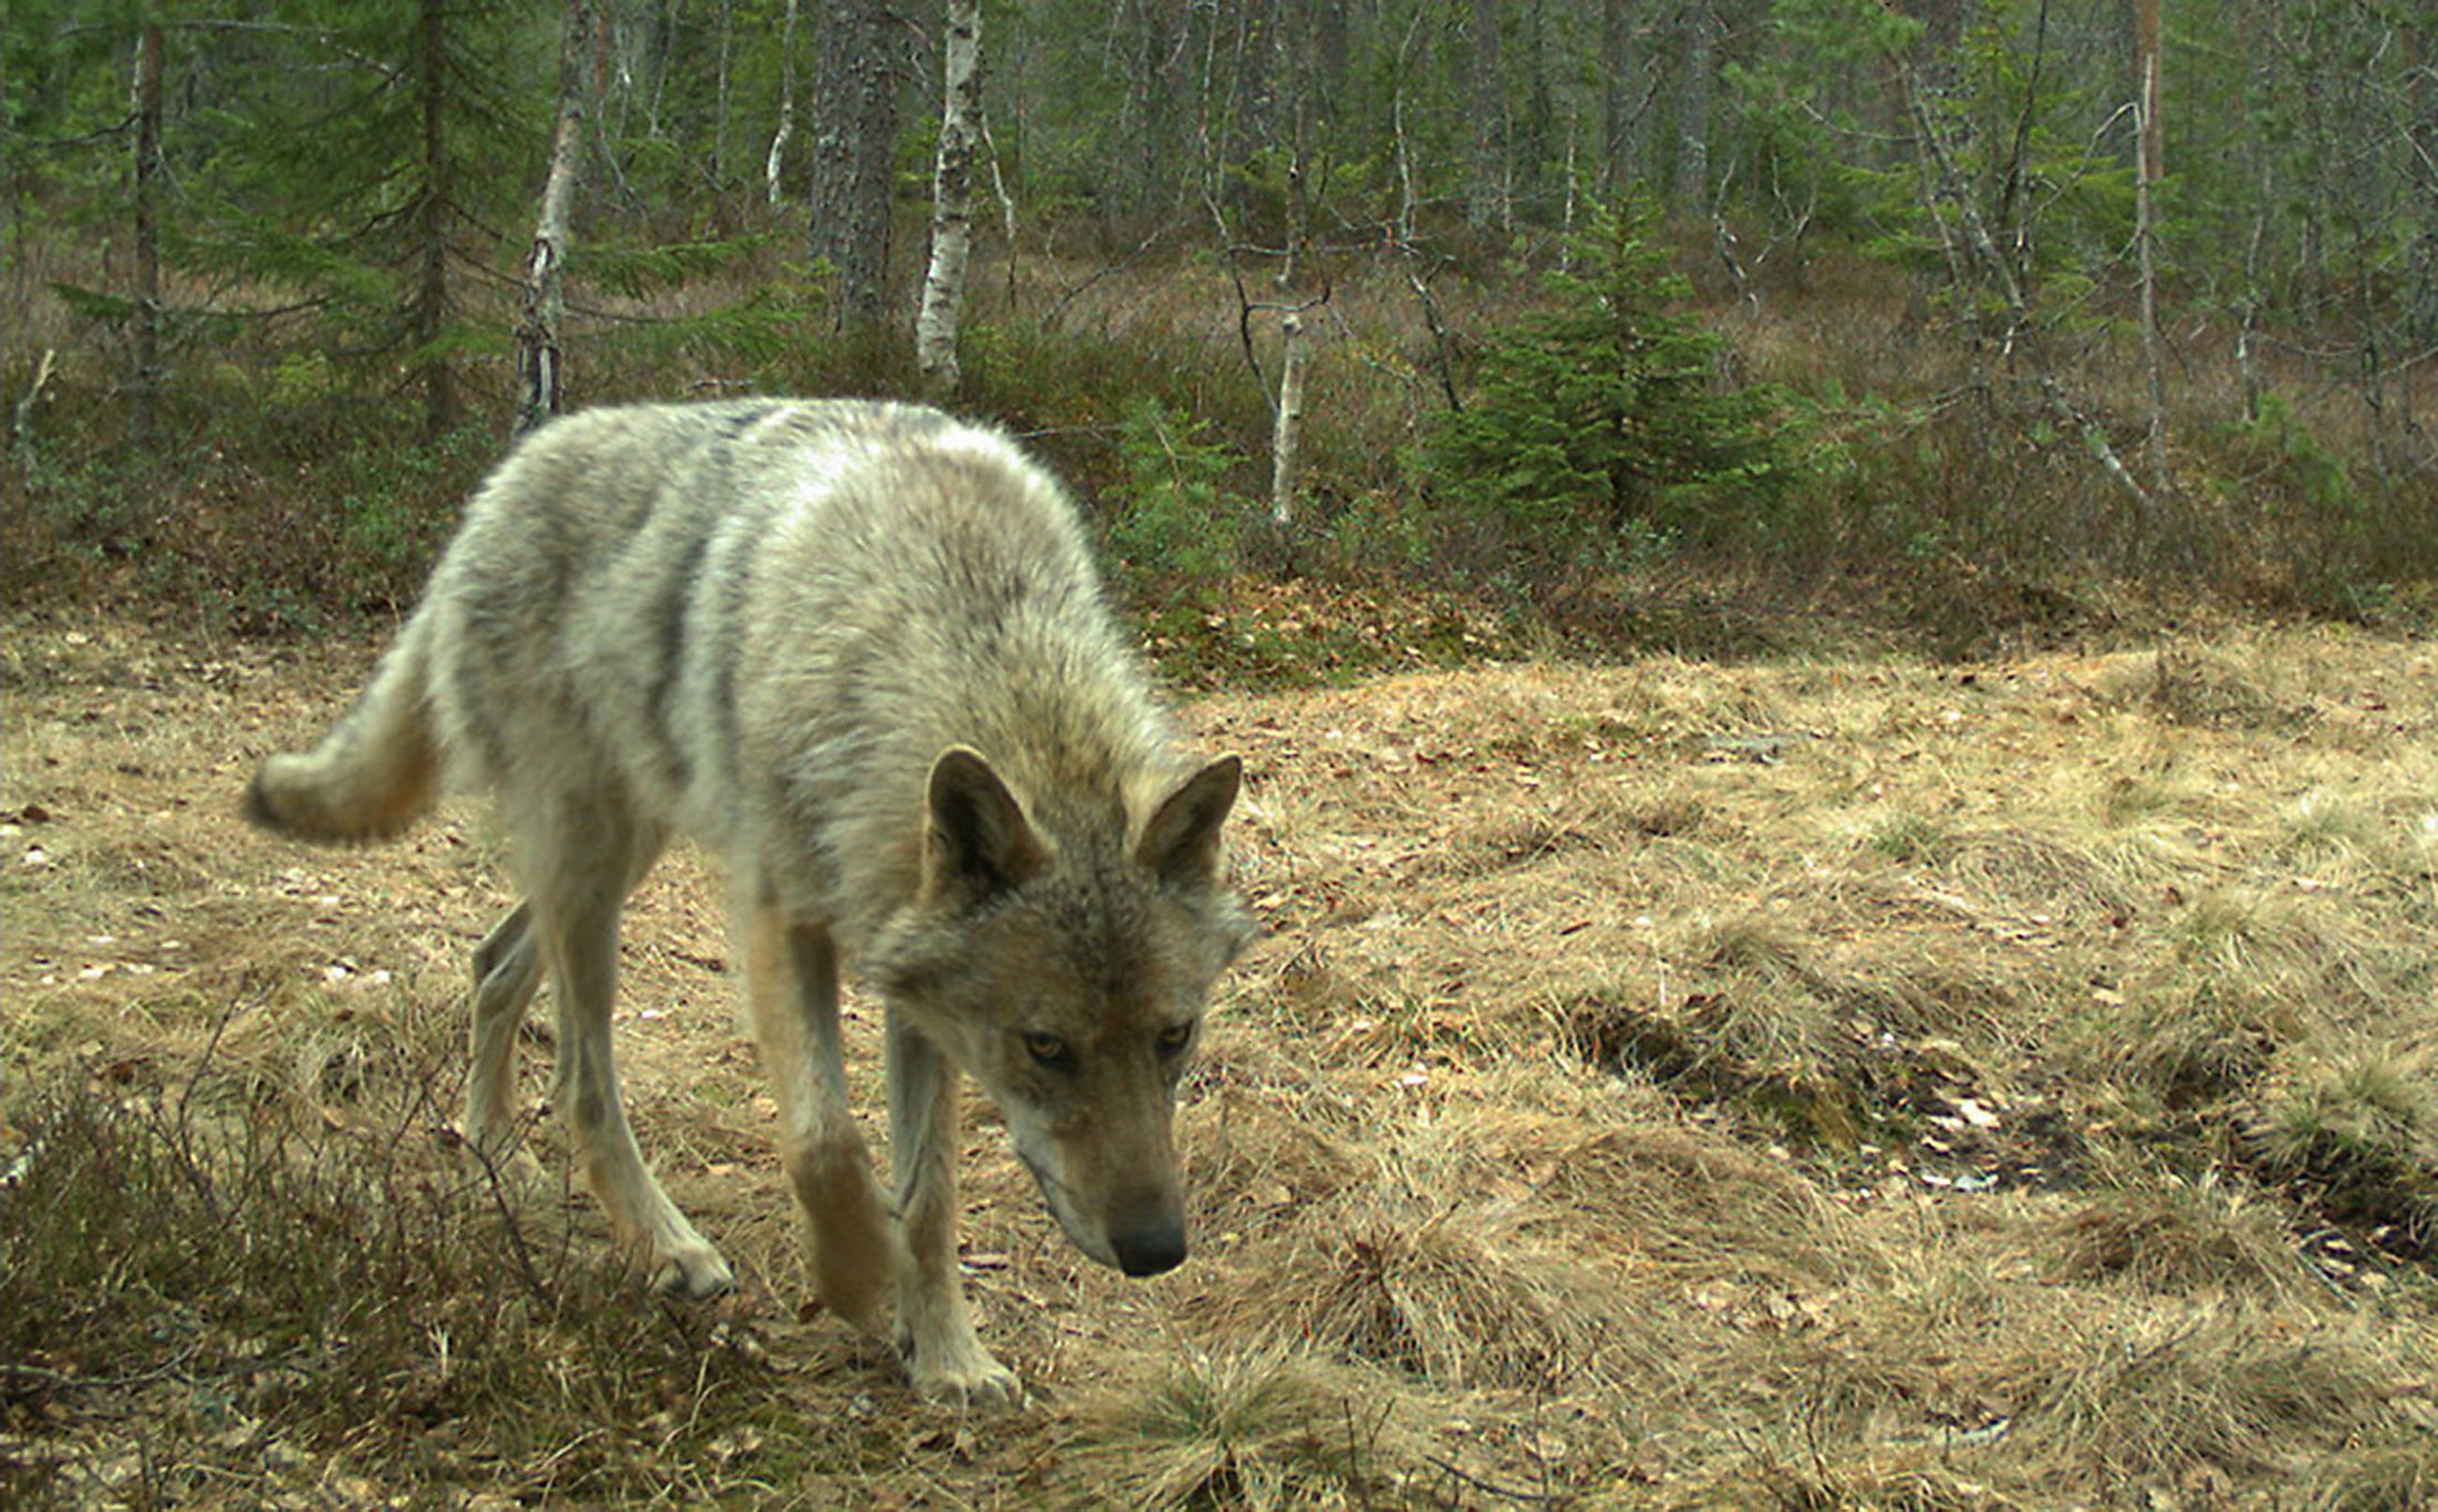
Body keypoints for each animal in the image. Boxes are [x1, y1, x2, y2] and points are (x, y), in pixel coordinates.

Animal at [247, 397, 1257, 1404]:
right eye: (1044, 1045)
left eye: (1175, 1035)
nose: (1157, 1249)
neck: (959, 633)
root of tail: (496, 490)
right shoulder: (781, 919)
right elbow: (824, 1142)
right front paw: (858, 1272)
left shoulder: (911, 984)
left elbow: (930, 1192)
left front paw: (948, 1356)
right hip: (593, 866)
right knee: (581, 1077)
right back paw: (667, 1245)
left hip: (618, 849)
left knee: (493, 963)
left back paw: (494, 1149)